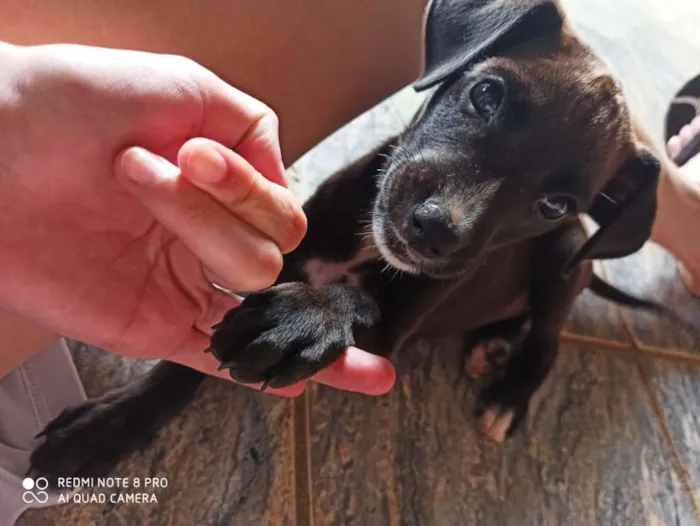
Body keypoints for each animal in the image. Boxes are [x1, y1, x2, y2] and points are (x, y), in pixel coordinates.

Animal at [28, 0, 668, 484]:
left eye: (554, 202)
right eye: (487, 95)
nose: (435, 230)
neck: (366, 245)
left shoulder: (390, 333)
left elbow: (357, 302)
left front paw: (305, 318)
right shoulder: (286, 255)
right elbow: (181, 368)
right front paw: (105, 427)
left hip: (566, 258)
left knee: (549, 335)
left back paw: (508, 390)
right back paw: (491, 342)